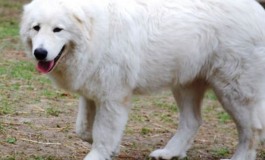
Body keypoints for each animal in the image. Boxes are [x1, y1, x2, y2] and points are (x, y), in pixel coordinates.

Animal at [20, 0, 265, 159]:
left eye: (58, 30)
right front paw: (113, 149)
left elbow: (102, 133)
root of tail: (257, 9)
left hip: (233, 92)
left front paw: (99, 154)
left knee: (251, 130)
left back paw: (239, 157)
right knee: (192, 121)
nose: (40, 53)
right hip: (186, 85)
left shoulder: (113, 98)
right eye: (36, 28)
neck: (96, 32)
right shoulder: (92, 94)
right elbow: (84, 130)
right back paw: (170, 153)